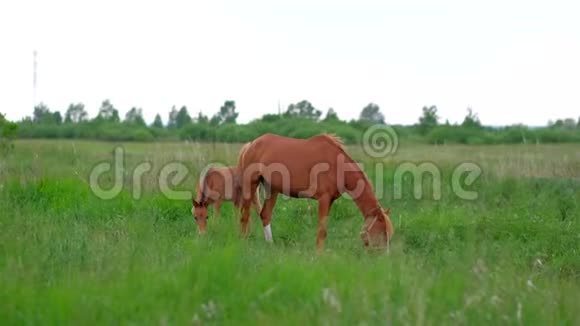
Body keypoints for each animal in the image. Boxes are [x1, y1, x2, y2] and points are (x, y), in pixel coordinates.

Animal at [236, 132, 394, 250]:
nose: (383, 258)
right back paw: (243, 244)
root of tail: (251, 144)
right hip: (251, 184)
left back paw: (271, 245)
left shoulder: (330, 201)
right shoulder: (323, 199)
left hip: (272, 189)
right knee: (245, 216)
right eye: (382, 233)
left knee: (265, 215)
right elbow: (321, 230)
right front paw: (318, 256)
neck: (336, 165)